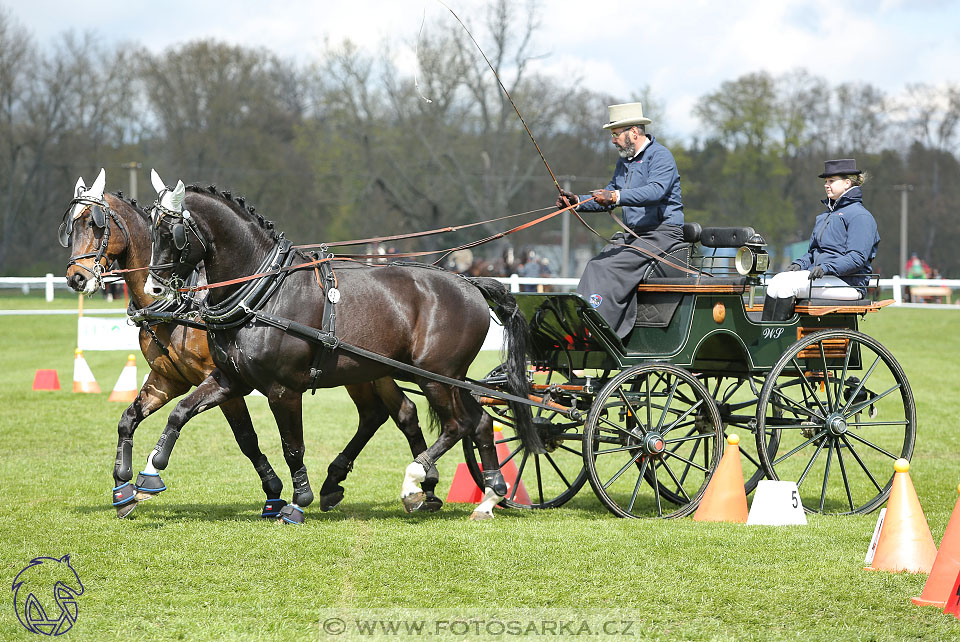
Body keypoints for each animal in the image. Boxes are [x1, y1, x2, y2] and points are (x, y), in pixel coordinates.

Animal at [62, 171, 444, 520]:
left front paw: (274, 493)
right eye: (69, 226)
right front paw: (125, 487)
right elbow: (130, 418)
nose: (76, 278)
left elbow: (246, 438)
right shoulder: (168, 379)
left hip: (368, 371)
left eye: (95, 224)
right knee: (389, 413)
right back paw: (379, 486)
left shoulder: (224, 380)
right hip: (365, 371)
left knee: (394, 413)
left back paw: (417, 485)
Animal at [141, 172, 540, 524]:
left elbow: (293, 446)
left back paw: (414, 483)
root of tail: (470, 283)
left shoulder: (283, 389)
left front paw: (298, 501)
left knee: (457, 425)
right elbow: (181, 411)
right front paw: (150, 471)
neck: (264, 294)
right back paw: (488, 498)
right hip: (447, 377)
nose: (154, 289)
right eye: (150, 227)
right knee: (480, 422)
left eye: (170, 232)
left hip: (436, 377)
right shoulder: (230, 379)